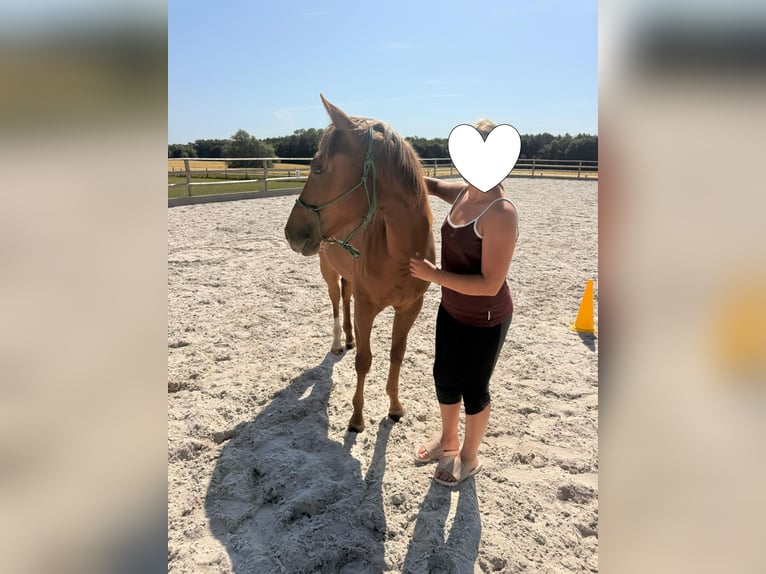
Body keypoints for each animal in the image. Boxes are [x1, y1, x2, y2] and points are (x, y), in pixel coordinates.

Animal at [284, 94, 436, 433]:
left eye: (318, 168)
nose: (291, 232)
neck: (400, 252)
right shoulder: (367, 308)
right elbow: (364, 361)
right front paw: (356, 418)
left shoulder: (410, 307)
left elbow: (396, 354)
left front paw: (395, 406)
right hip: (328, 273)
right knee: (336, 304)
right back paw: (339, 342)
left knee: (346, 297)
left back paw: (350, 338)